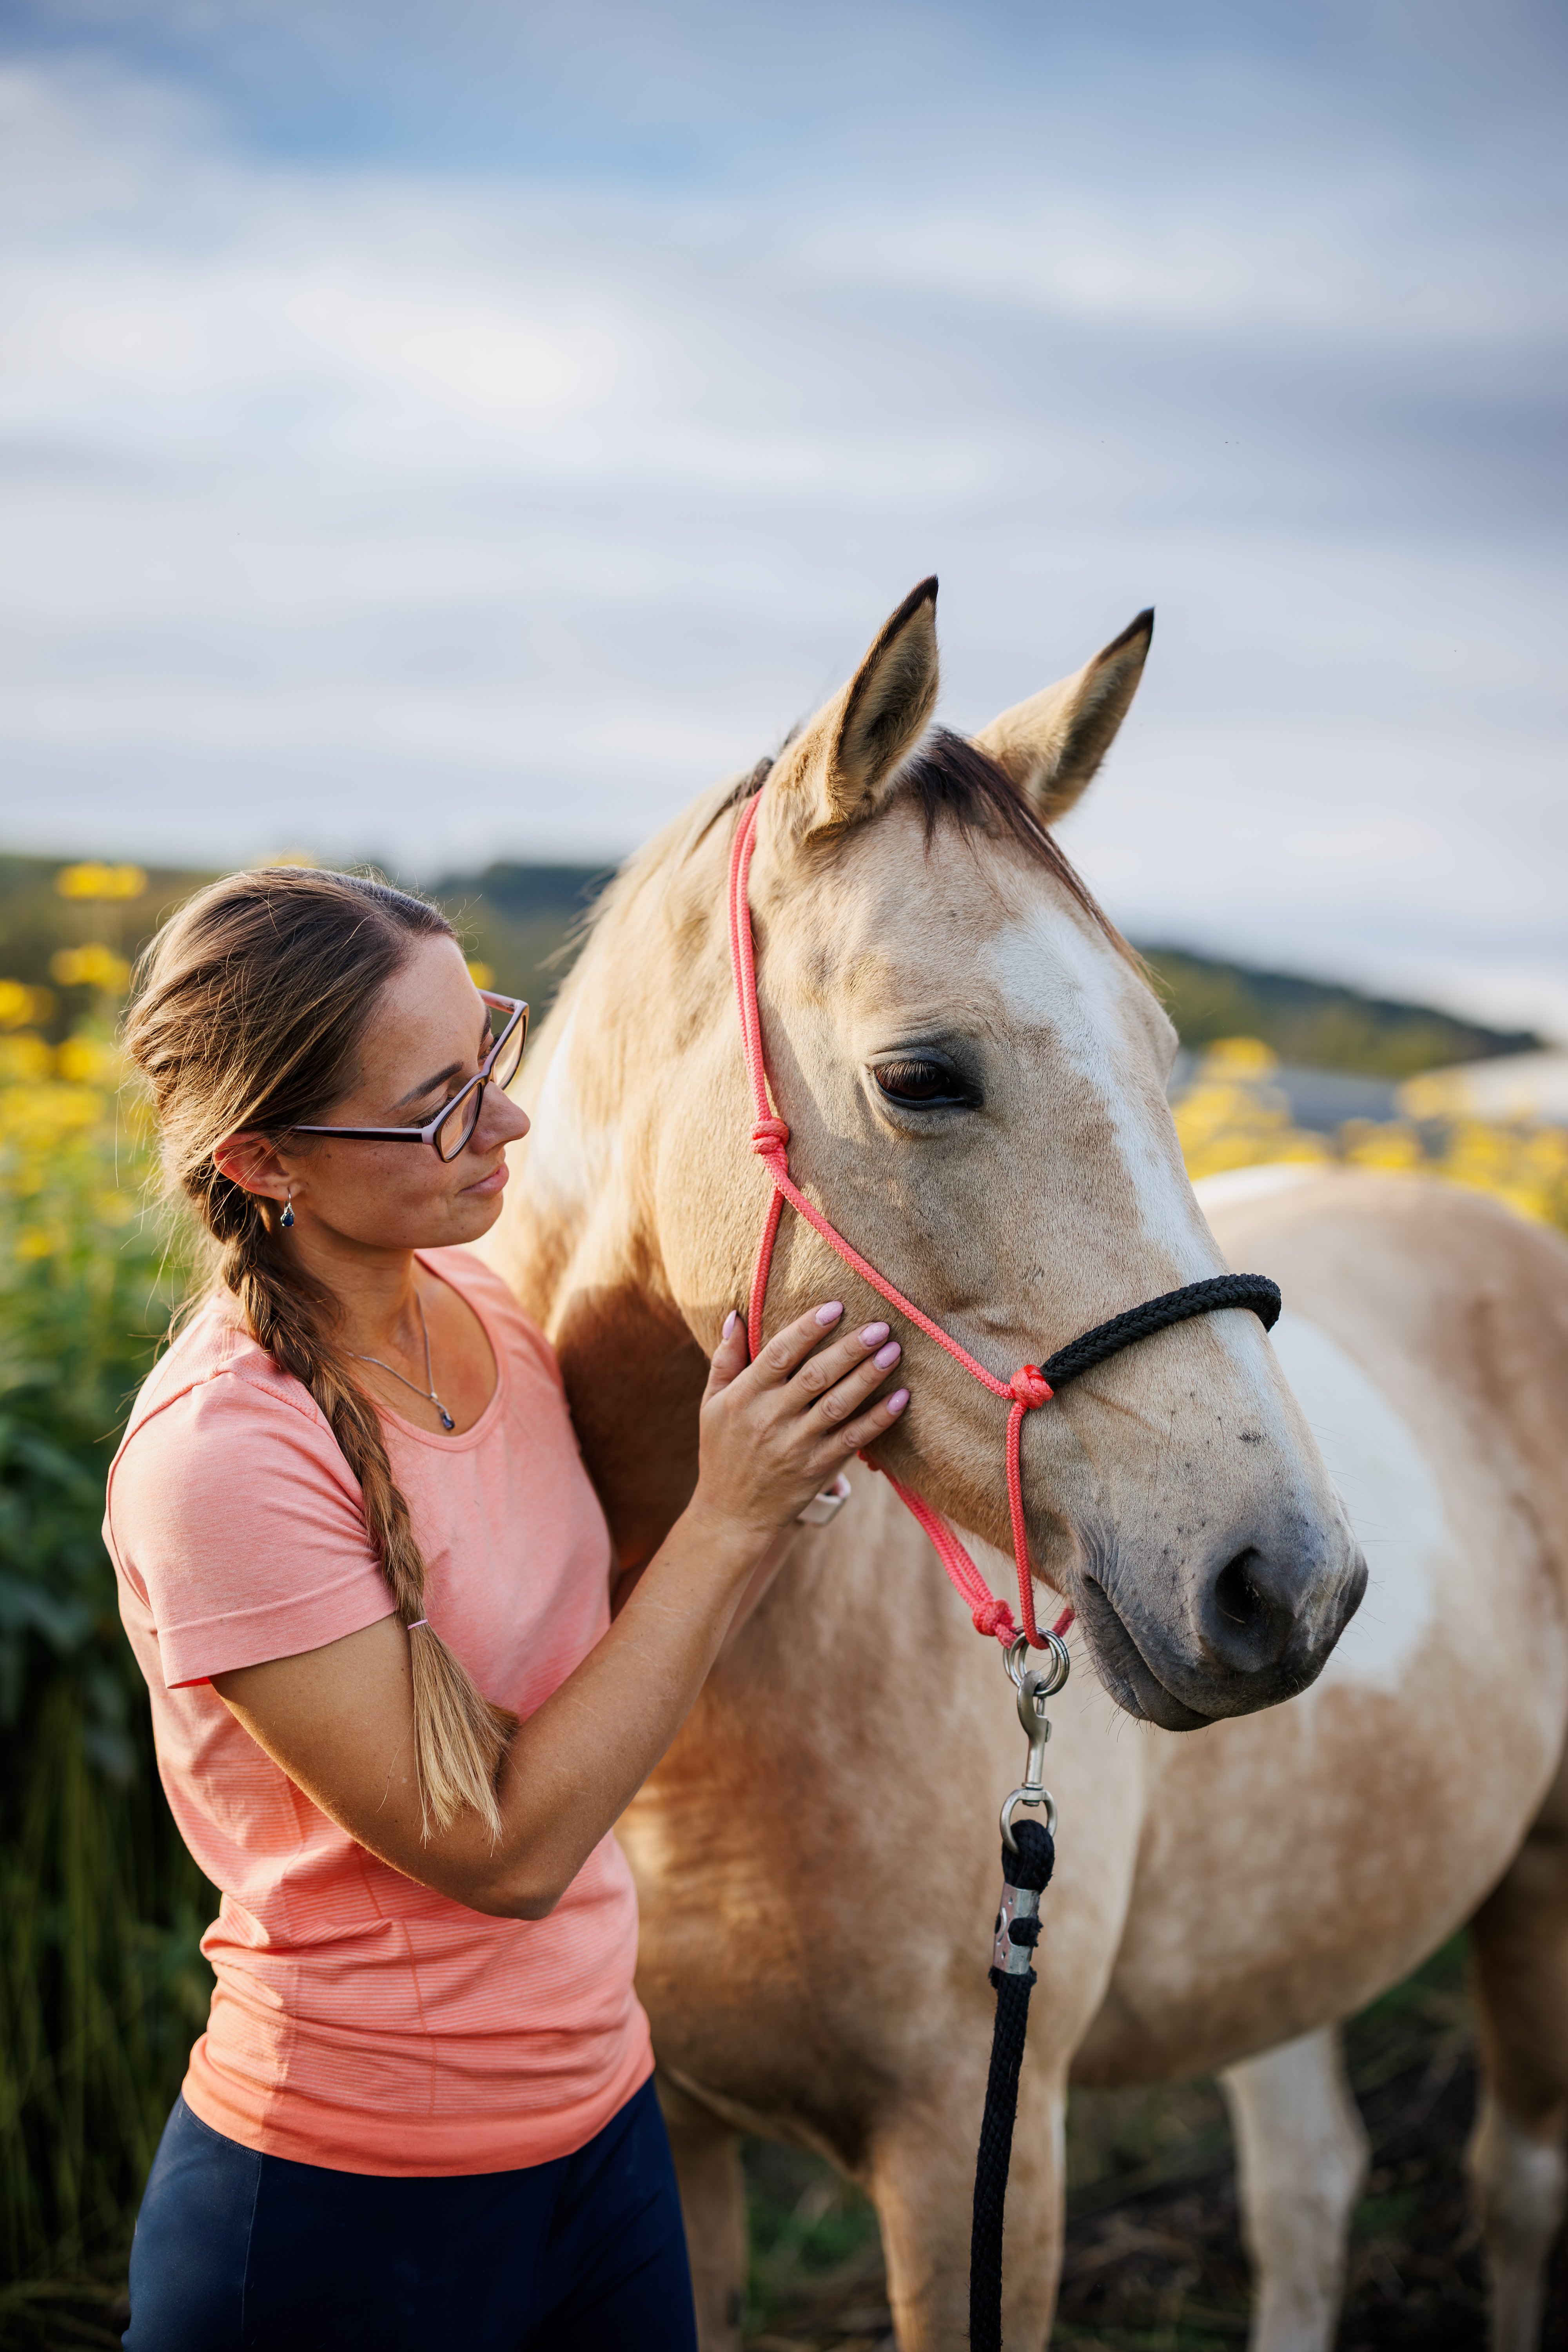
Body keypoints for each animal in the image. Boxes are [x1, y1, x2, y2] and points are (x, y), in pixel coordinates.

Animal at [481, 582, 1568, 2351]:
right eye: (922, 1074)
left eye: (1157, 1044)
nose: (1288, 1582)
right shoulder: (678, 2143)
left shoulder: (977, 2158)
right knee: (1307, 2190)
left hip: (1538, 1886)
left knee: (1514, 2191)